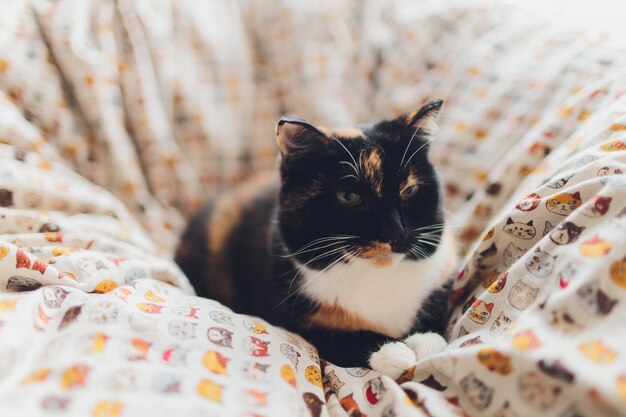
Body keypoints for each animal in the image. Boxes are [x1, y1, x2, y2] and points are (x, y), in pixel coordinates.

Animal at [173, 101, 456, 374]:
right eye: (349, 196)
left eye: (409, 191)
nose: (395, 233)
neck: (376, 276)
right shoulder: (291, 314)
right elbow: (338, 336)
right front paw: (392, 350)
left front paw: (427, 341)